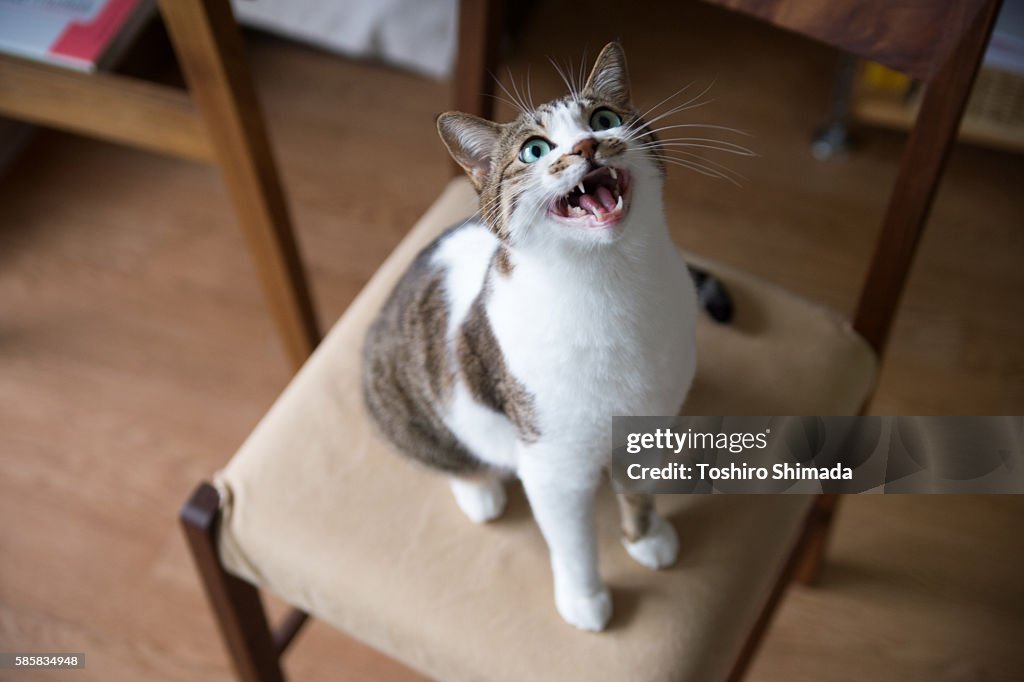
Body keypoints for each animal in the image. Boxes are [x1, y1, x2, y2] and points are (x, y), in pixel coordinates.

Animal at [364, 41, 708, 626]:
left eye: (604, 119)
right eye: (534, 150)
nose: (589, 145)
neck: (612, 286)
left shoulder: (649, 418)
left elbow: (639, 486)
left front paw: (645, 535)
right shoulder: (553, 461)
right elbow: (572, 542)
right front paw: (585, 598)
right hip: (398, 395)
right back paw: (479, 490)